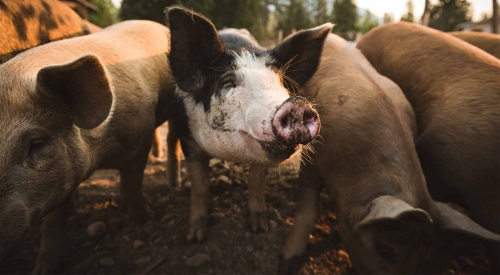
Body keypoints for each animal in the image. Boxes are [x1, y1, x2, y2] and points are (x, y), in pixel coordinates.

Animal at [0, 20, 176, 274]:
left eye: (36, 143)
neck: (99, 158)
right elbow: (52, 224)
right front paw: (43, 269)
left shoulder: (138, 140)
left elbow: (130, 186)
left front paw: (146, 217)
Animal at [164, 7, 334, 242]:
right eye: (227, 82)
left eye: (281, 83)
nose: (297, 104)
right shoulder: (190, 141)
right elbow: (200, 187)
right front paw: (195, 237)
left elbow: (256, 183)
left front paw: (260, 228)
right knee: (170, 140)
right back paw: (174, 185)